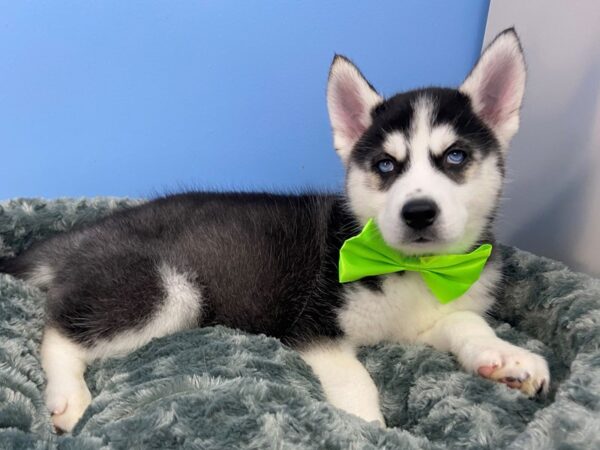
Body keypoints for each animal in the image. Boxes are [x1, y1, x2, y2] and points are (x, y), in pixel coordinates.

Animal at [2, 29, 552, 430]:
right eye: (385, 165)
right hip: (168, 291)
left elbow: (466, 322)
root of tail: (85, 232)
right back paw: (69, 395)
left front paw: (506, 357)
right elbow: (356, 379)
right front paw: (368, 428)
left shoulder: (428, 319)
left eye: (455, 156)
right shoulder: (311, 325)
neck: (412, 267)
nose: (418, 212)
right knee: (57, 331)